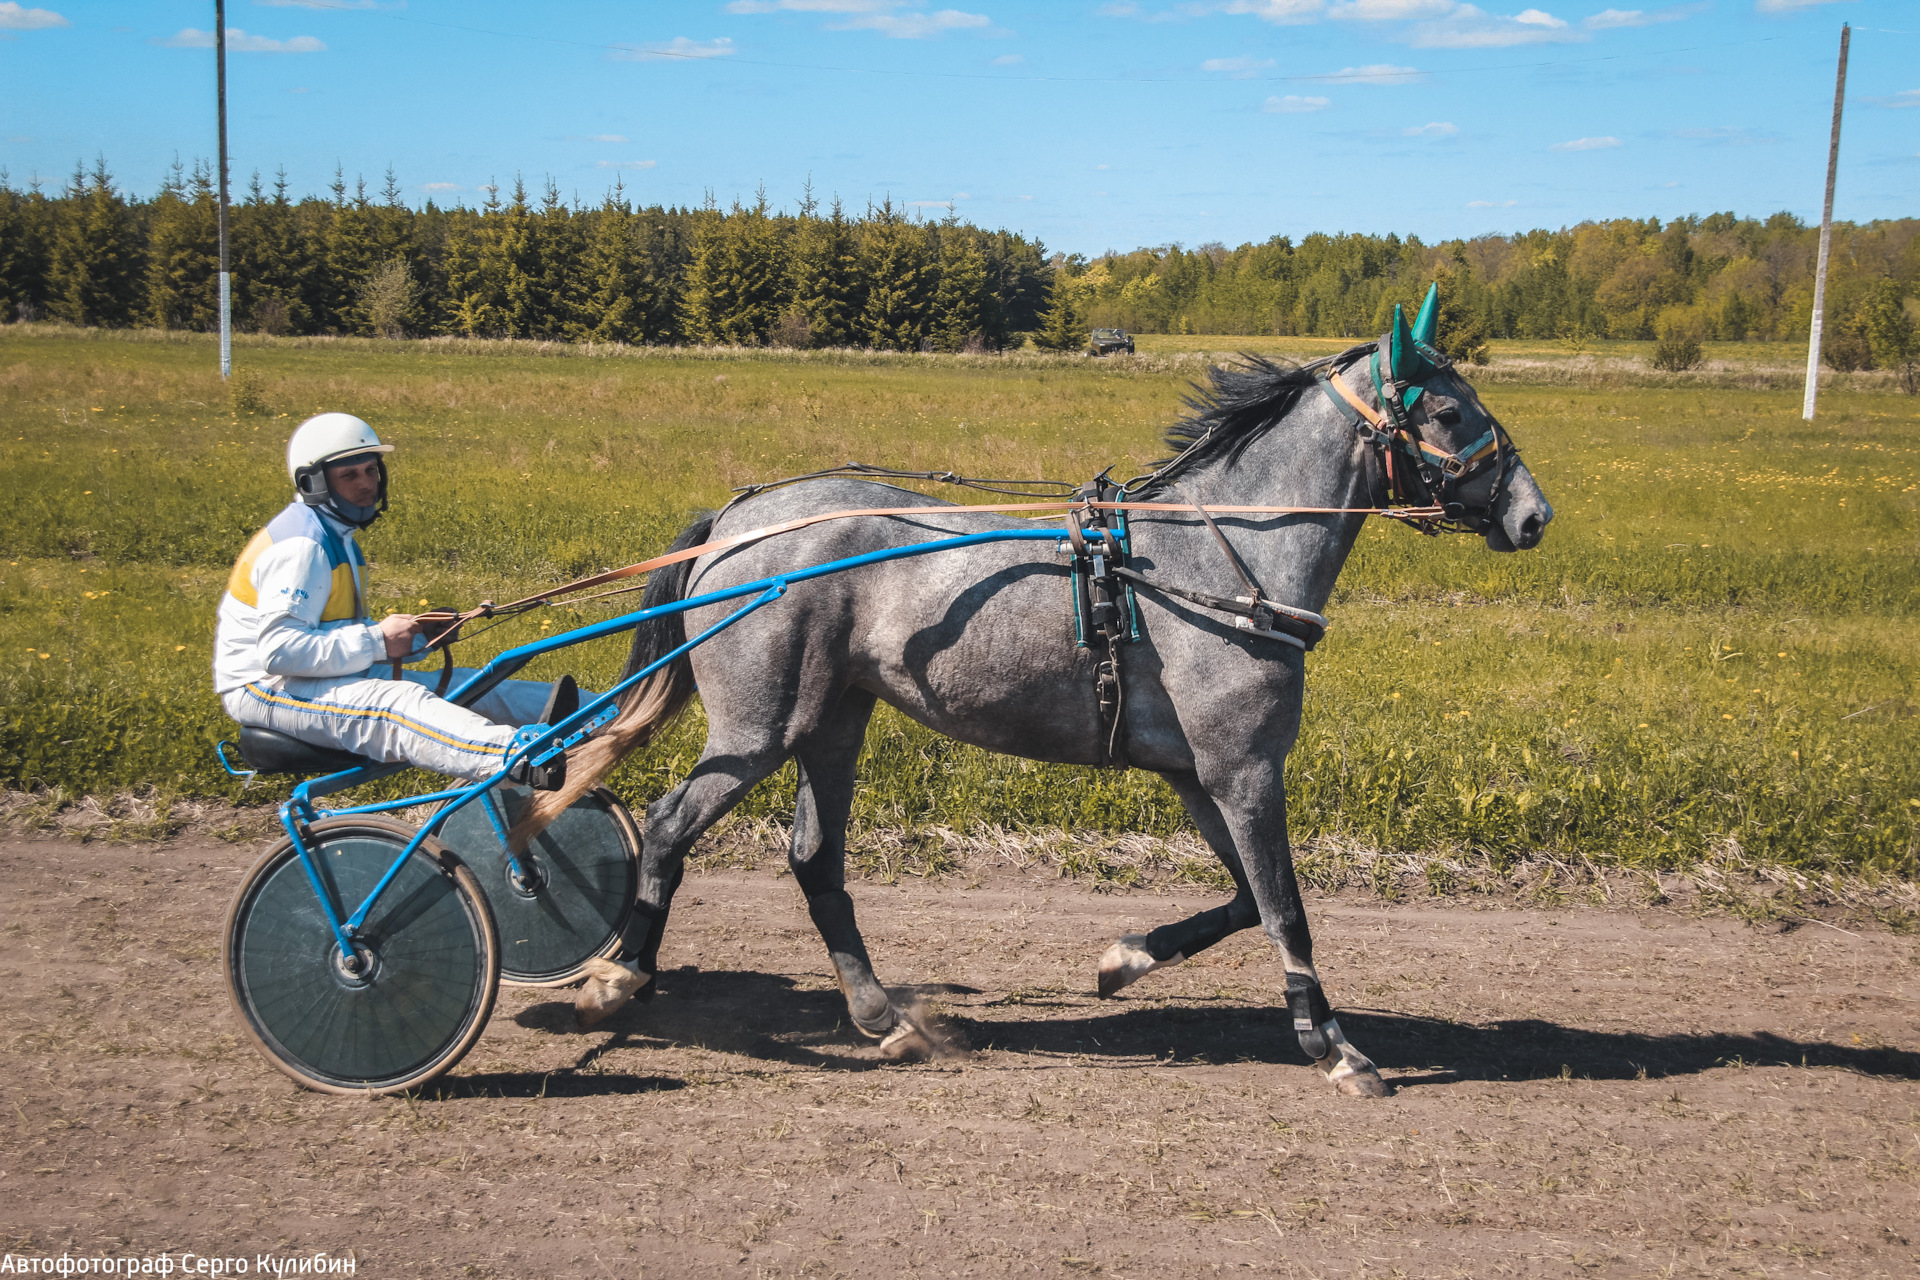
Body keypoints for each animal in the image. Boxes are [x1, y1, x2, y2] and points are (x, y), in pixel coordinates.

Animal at [518, 314, 1551, 1097]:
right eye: (1450, 409)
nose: (1533, 514)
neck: (1217, 559)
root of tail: (740, 517)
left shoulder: (1201, 776)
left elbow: (1242, 902)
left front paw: (1124, 958)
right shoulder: (1244, 766)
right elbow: (1286, 908)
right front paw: (1335, 1048)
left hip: (833, 721)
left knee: (815, 861)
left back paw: (883, 1016)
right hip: (758, 727)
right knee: (667, 825)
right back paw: (617, 977)